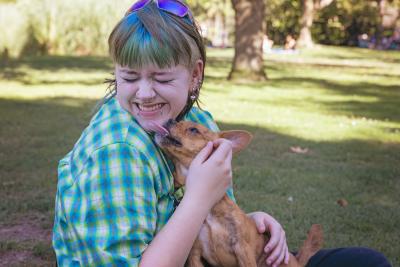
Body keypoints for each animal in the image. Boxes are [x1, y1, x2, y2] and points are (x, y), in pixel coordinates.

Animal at [152, 120, 322, 266]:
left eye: (194, 130)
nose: (169, 120)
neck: (210, 209)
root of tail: (297, 260)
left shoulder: (243, 250)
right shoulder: (194, 254)